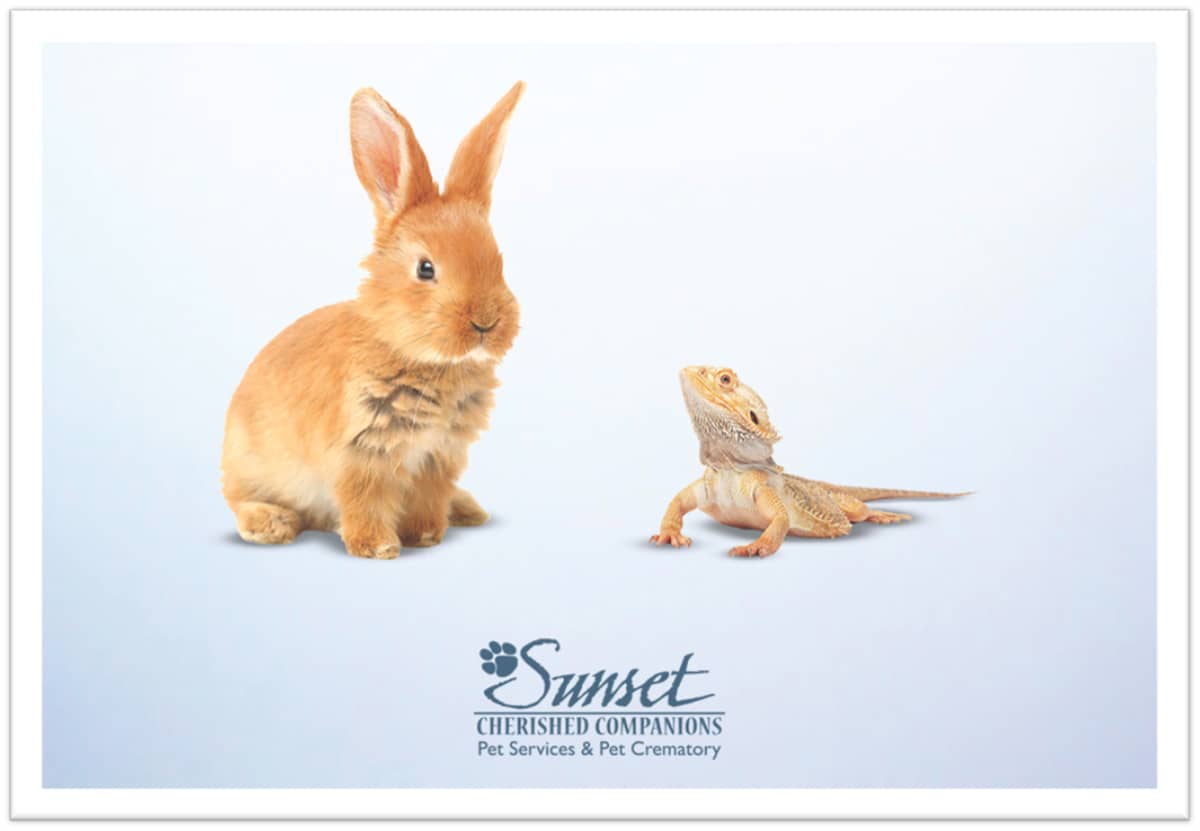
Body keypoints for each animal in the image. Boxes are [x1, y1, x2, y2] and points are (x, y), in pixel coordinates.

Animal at [221, 82, 525, 559]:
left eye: (498, 261)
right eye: (425, 269)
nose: (486, 323)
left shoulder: (439, 457)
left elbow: (427, 499)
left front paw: (425, 536)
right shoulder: (361, 452)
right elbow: (364, 500)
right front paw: (378, 547)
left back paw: (467, 509)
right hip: (251, 467)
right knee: (239, 501)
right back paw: (270, 523)